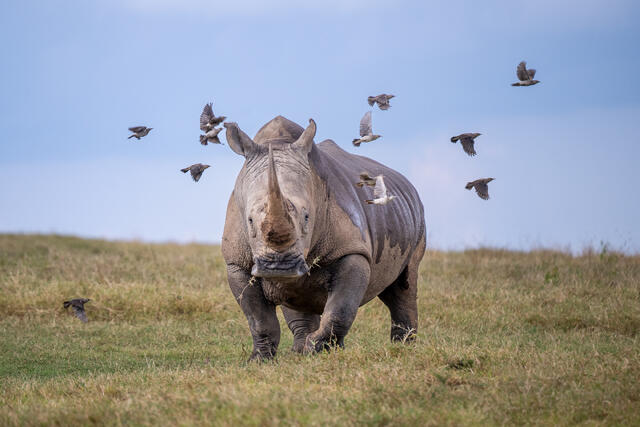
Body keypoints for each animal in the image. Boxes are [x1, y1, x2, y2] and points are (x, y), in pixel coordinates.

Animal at [221, 116, 426, 360]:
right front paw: (260, 360)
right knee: (296, 295)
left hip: (416, 215)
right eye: (250, 220)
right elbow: (259, 319)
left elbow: (341, 309)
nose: (279, 267)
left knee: (404, 287)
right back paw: (302, 350)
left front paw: (316, 348)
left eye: (307, 217)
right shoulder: (236, 262)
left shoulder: (352, 250)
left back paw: (402, 349)